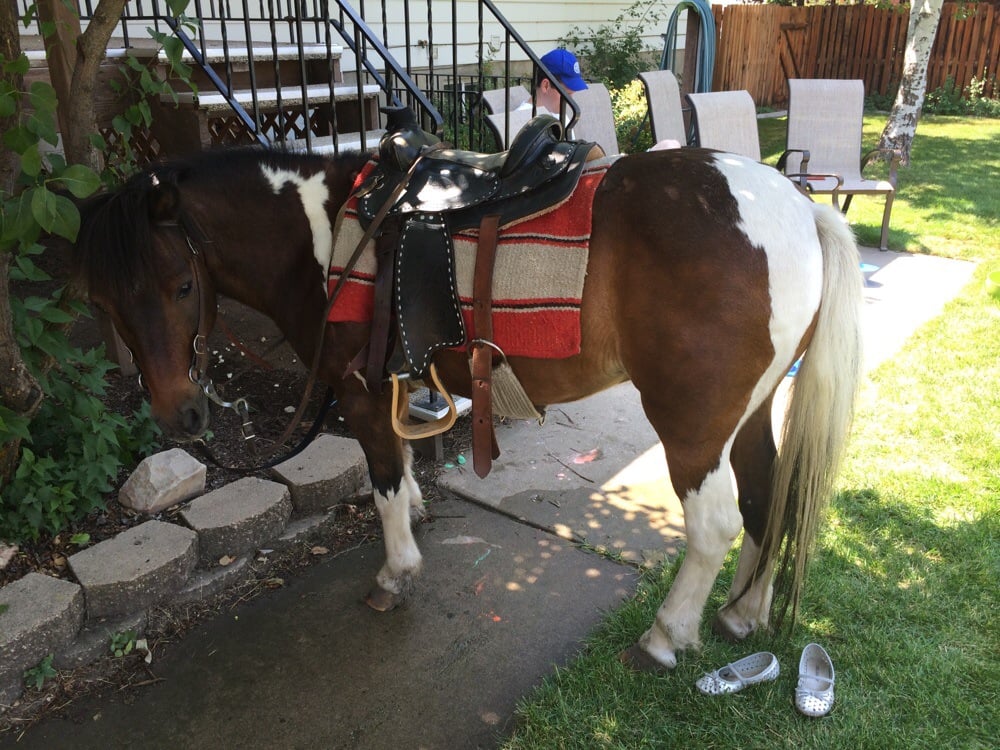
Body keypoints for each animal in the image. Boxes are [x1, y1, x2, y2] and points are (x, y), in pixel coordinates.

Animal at [74, 142, 863, 672]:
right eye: (102, 302)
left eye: (181, 285)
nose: (180, 416)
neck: (324, 237)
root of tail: (798, 208)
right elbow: (405, 467)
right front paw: (419, 513)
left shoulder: (360, 393)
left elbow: (383, 480)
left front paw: (396, 572)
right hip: (750, 413)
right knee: (768, 495)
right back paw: (744, 613)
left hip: (693, 426)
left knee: (715, 524)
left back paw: (667, 636)